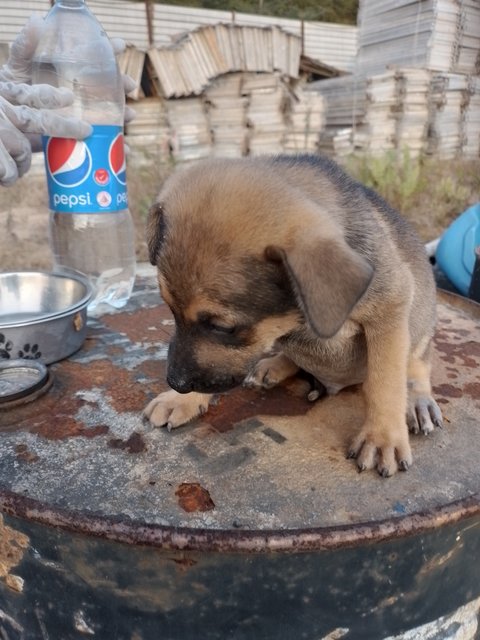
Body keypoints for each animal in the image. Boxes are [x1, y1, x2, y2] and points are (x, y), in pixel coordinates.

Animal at [144, 155, 444, 476]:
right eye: (169, 308)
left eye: (223, 327)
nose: (175, 383)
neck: (301, 319)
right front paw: (181, 400)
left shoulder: (389, 309)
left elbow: (385, 381)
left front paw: (383, 437)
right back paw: (273, 364)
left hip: (422, 329)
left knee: (416, 367)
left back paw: (418, 401)